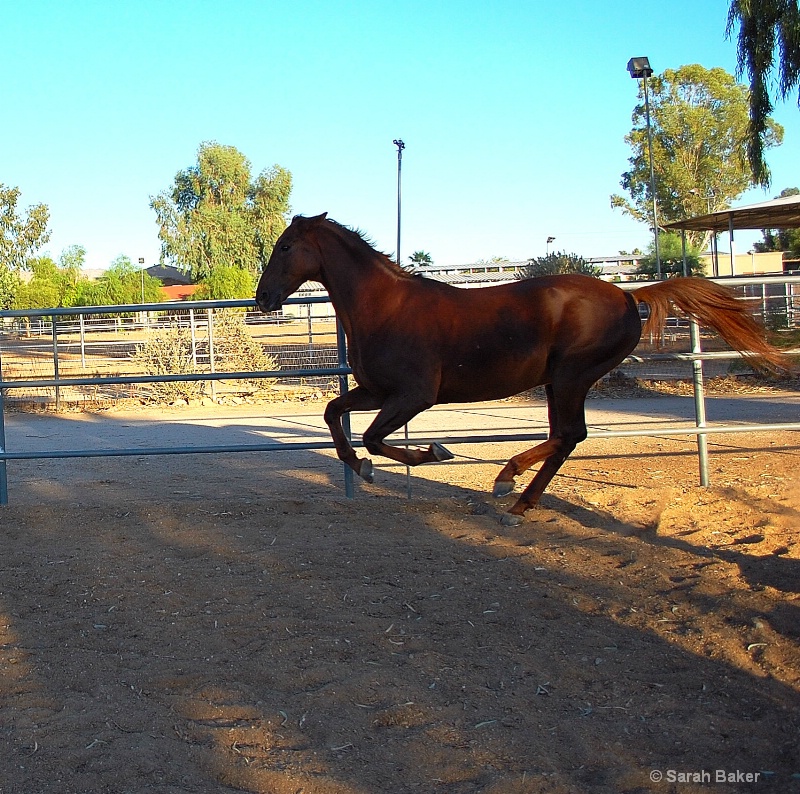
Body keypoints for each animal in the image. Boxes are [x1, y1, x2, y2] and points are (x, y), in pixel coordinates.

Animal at [256, 210, 788, 524]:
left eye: (285, 247)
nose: (262, 298)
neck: (385, 306)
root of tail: (628, 294)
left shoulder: (413, 396)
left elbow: (372, 437)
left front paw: (433, 453)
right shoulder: (375, 391)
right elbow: (334, 415)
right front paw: (362, 470)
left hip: (571, 375)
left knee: (569, 434)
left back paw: (507, 481)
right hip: (561, 380)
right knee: (566, 437)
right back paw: (518, 500)